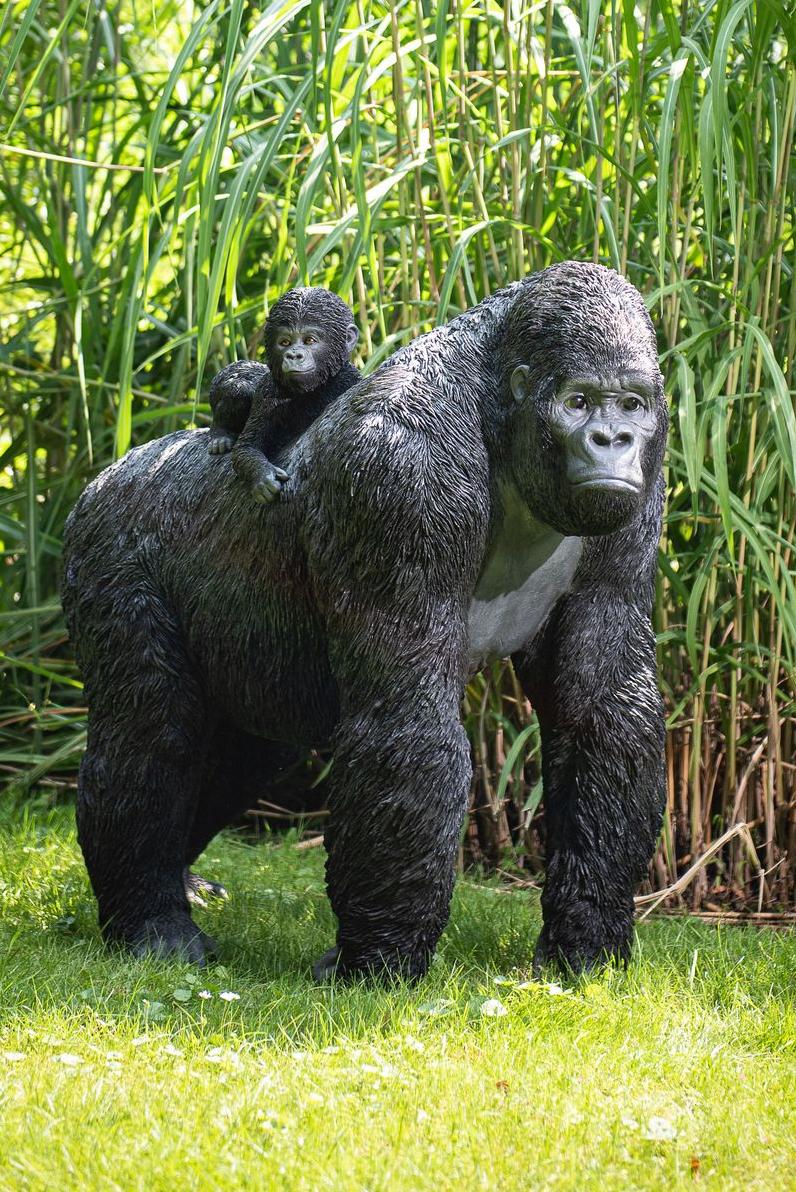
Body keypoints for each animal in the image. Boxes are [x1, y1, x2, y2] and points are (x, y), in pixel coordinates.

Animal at [210, 288, 359, 503]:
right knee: (239, 389)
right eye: (285, 342)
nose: (294, 355)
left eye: (309, 340)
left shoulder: (351, 380)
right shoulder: (267, 390)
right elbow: (245, 448)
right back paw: (220, 435)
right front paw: (263, 477)